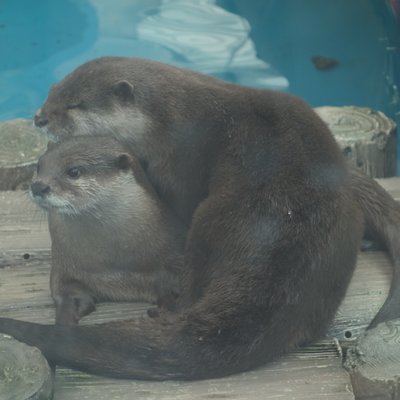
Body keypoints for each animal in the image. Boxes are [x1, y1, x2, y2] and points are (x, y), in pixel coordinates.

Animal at [30, 136, 185, 324]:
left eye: (74, 171)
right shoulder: (64, 268)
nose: (38, 186)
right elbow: (66, 295)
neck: (114, 261)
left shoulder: (173, 253)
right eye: (39, 166)